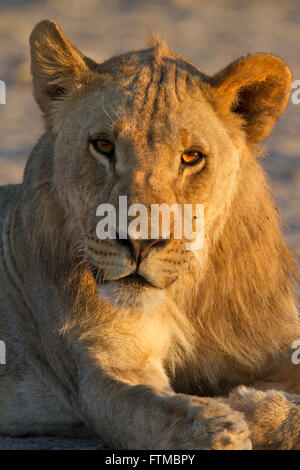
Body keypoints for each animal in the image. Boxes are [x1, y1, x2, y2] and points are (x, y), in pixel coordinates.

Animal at [0, 20, 300, 450]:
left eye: (191, 157)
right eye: (103, 145)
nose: (140, 242)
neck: (186, 296)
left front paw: (251, 406)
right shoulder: (106, 369)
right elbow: (161, 414)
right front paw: (227, 421)